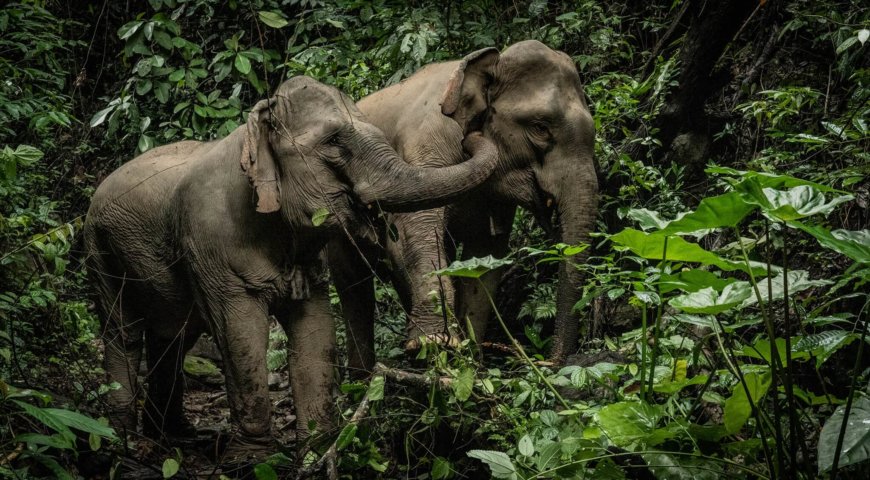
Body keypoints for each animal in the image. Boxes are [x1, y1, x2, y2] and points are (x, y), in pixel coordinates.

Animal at [82, 76, 498, 458]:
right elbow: (241, 334)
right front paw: (252, 461)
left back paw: (176, 436)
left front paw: (320, 449)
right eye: (333, 142)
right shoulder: (210, 248)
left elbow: (316, 333)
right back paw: (121, 444)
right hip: (98, 252)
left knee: (173, 338)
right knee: (123, 333)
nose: (469, 132)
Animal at [328, 39, 600, 376]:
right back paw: (363, 377)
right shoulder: (425, 145)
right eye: (540, 128)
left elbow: (484, 257)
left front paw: (469, 362)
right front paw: (434, 343)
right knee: (353, 284)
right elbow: (415, 226)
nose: (548, 362)